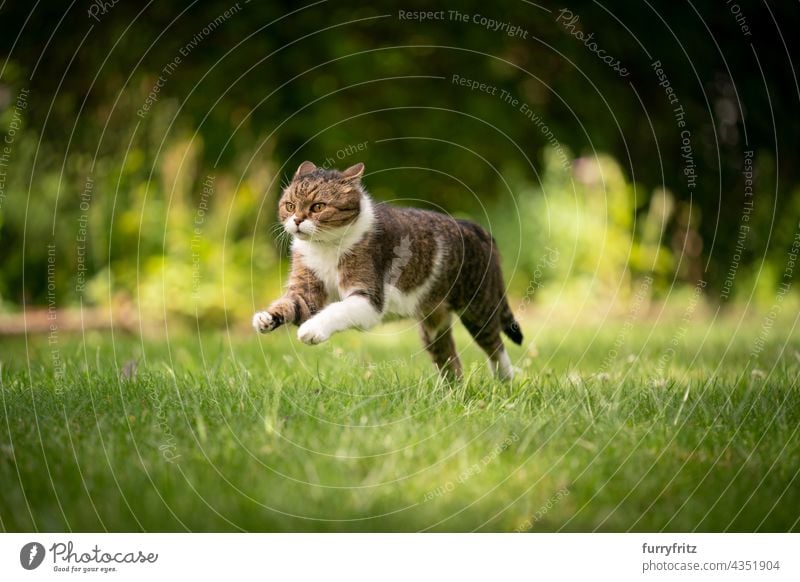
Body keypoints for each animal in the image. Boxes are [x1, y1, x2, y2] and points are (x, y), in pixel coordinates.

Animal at [253, 162, 520, 380]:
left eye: (318, 207)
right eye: (289, 205)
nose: (297, 220)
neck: (324, 247)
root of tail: (476, 227)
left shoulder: (368, 300)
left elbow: (337, 309)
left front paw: (312, 330)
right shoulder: (307, 293)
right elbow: (290, 304)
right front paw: (266, 318)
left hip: (478, 309)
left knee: (496, 347)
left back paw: (505, 381)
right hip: (433, 325)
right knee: (451, 363)